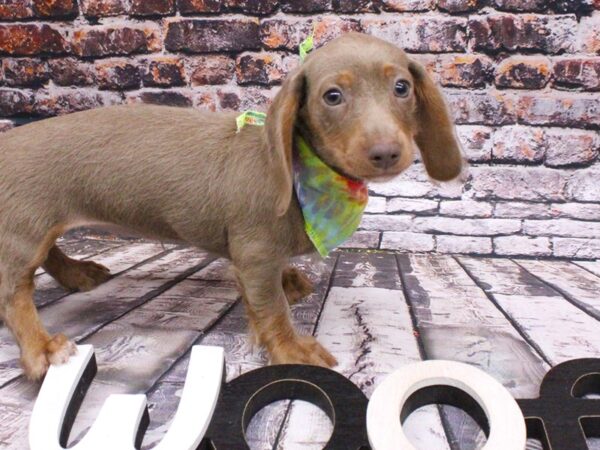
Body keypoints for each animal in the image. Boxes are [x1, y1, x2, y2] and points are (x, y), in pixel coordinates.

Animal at [0, 33, 464, 382]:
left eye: (401, 87)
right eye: (333, 96)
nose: (387, 153)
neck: (305, 174)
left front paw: (288, 279)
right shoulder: (254, 255)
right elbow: (271, 308)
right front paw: (291, 347)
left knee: (50, 256)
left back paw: (77, 274)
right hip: (24, 230)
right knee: (13, 292)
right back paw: (41, 347)